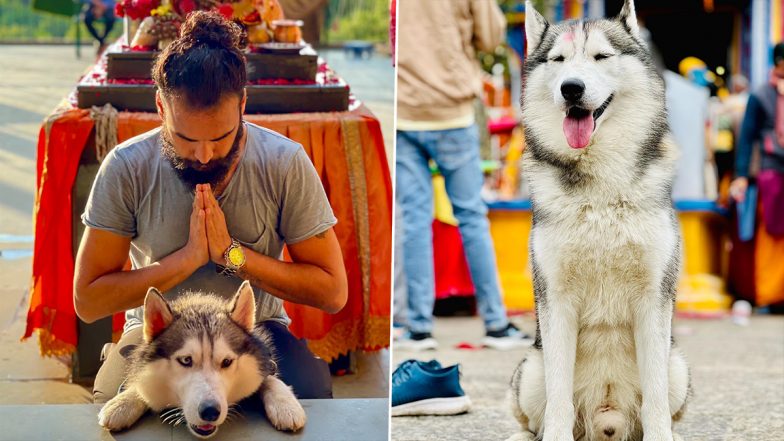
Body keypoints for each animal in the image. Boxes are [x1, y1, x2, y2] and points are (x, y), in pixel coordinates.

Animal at [98, 280, 306, 438]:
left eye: (227, 362)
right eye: (186, 360)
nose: (210, 412)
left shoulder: (264, 362)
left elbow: (270, 379)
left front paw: (285, 405)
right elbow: (139, 384)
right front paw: (122, 402)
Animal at [506, 0, 688, 440]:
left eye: (601, 57)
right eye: (558, 60)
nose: (571, 88)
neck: (601, 190)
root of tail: (607, 415)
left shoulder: (654, 297)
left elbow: (656, 398)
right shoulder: (555, 298)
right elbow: (558, 399)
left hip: (678, 365)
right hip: (530, 370)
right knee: (531, 416)